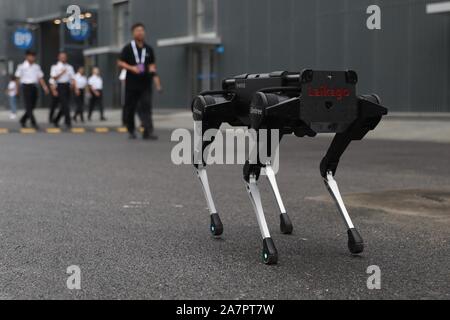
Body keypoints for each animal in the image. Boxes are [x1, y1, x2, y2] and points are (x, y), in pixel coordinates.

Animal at [192, 70, 388, 264]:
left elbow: (326, 168)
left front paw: (354, 238)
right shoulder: (267, 117)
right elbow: (249, 173)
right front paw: (268, 246)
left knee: (269, 165)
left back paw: (284, 220)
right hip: (210, 114)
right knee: (200, 162)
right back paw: (215, 222)